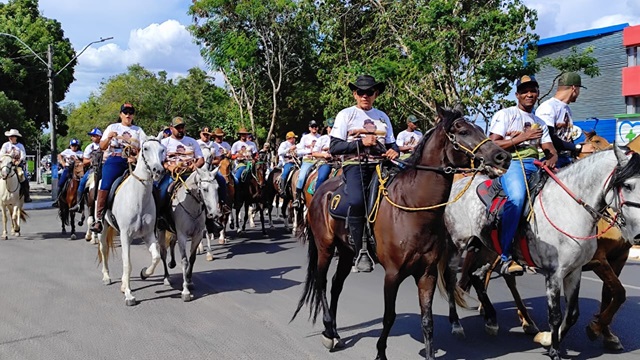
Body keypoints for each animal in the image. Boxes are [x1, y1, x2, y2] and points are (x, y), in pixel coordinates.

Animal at [97, 139, 166, 306]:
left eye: (162, 149)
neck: (138, 197)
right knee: (103, 249)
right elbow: (127, 263)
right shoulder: (125, 235)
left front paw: (145, 273)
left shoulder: (148, 235)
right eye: (145, 148)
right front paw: (129, 295)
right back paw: (106, 277)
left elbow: (156, 257)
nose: (158, 170)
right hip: (103, 228)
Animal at [159, 168, 221, 300]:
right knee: (163, 253)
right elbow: (185, 261)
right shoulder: (182, 235)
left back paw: (172, 263)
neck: (191, 205)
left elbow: (192, 259)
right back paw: (166, 278)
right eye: (205, 189)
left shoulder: (197, 235)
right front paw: (185, 291)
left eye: (217, 188)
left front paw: (189, 280)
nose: (214, 214)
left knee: (172, 243)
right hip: (161, 230)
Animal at [290, 105, 510, 358]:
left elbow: (427, 320)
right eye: (463, 131)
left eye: (480, 129)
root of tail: (320, 191)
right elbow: (389, 317)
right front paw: (380, 353)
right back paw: (328, 332)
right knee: (321, 282)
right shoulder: (392, 274)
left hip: (346, 250)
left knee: (336, 284)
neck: (413, 208)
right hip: (325, 247)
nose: (503, 157)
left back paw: (333, 331)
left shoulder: (427, 274)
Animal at [444, 146, 640, 360]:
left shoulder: (576, 270)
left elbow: (574, 313)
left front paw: (551, 339)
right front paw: (554, 349)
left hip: (488, 247)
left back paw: (492, 320)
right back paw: (457, 324)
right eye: (627, 186)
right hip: (457, 244)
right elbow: (555, 315)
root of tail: (459, 183)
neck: (569, 209)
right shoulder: (555, 273)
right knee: (450, 279)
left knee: (478, 275)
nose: (638, 235)